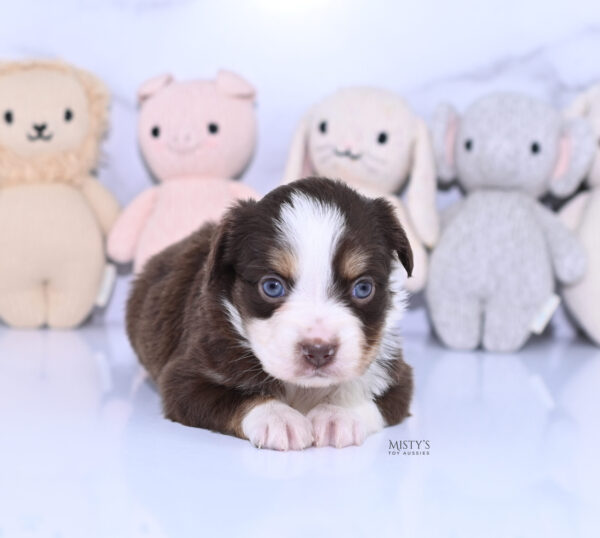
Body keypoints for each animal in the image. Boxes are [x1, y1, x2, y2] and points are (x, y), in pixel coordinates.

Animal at [127, 176, 412, 448]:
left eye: (363, 288)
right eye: (272, 286)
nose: (318, 351)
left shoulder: (397, 375)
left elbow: (367, 392)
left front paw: (337, 413)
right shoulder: (186, 377)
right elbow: (236, 396)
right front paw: (278, 418)